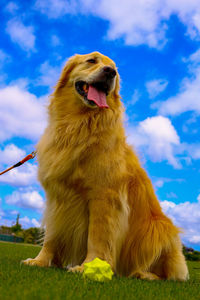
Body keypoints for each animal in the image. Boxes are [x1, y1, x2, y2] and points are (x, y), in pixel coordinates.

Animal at [22, 52, 189, 282]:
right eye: (91, 61)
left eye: (115, 69)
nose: (110, 72)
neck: (78, 125)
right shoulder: (57, 198)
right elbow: (52, 236)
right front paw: (41, 261)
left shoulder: (104, 197)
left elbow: (98, 236)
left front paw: (89, 266)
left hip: (159, 228)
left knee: (168, 273)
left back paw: (144, 274)